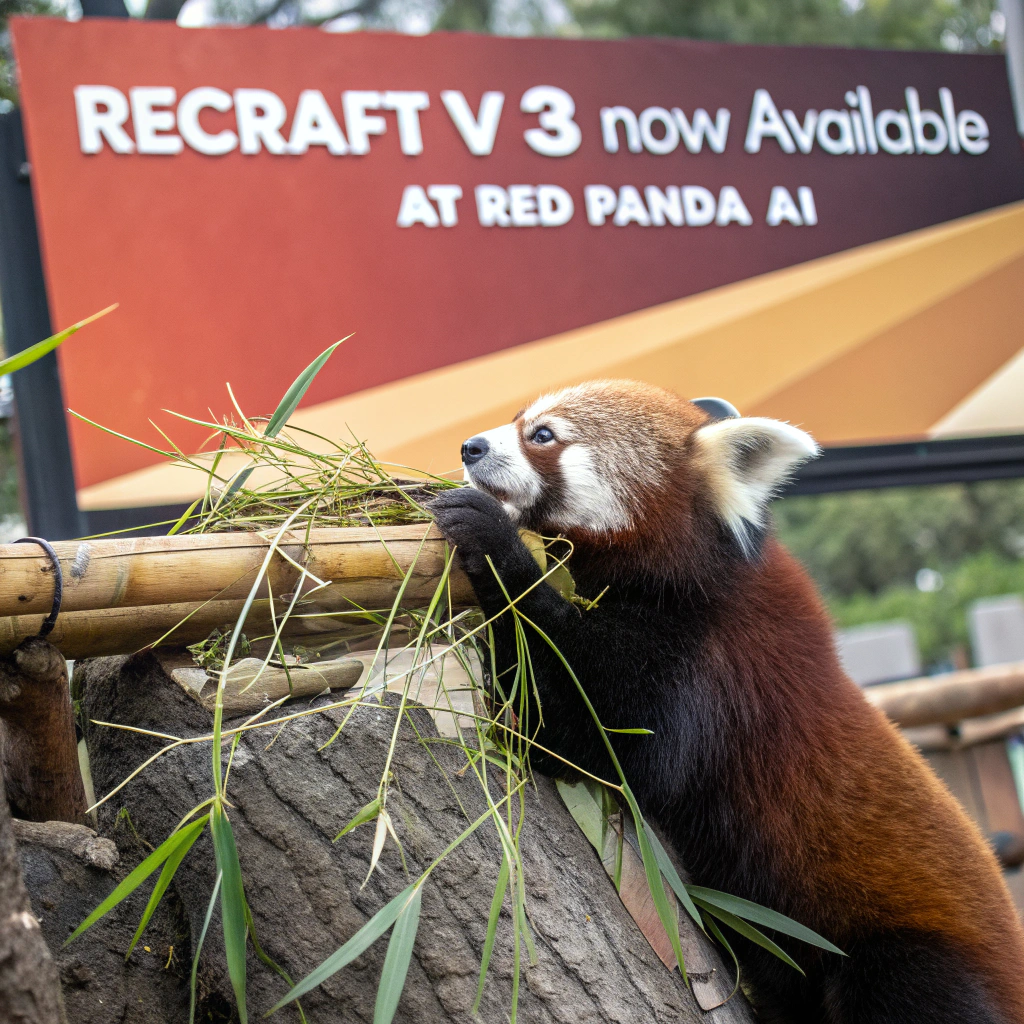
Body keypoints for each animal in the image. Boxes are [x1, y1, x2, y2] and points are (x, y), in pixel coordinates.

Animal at [430, 379, 1024, 1024]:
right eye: (518, 419)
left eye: (542, 435)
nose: (470, 447)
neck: (688, 564)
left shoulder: (710, 660)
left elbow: (608, 743)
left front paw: (495, 545)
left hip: (910, 951)